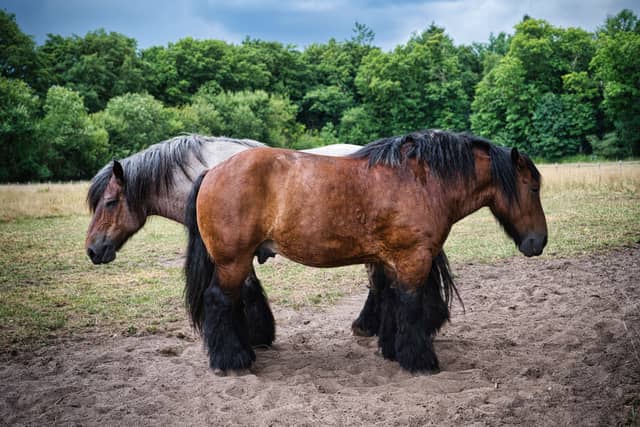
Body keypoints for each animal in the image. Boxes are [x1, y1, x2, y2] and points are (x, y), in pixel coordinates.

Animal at [84, 134, 390, 347]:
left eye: (110, 203)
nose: (92, 250)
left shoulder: (238, 254)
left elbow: (247, 289)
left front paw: (256, 336)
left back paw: (365, 325)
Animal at [185, 129, 547, 372]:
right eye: (533, 188)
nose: (539, 242)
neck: (421, 181)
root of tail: (212, 172)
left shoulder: (389, 260)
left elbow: (390, 300)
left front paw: (391, 348)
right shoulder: (414, 259)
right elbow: (411, 306)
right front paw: (419, 360)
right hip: (233, 261)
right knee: (219, 301)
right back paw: (231, 361)